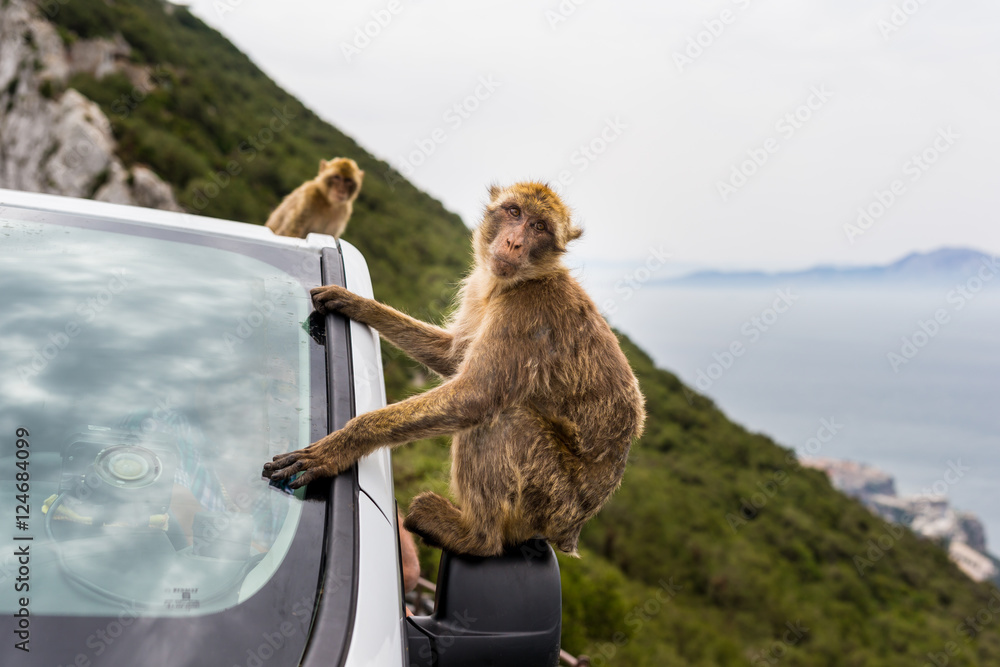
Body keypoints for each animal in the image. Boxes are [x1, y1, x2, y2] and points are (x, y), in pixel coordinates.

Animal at [263, 181, 645, 557]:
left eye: (539, 227)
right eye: (514, 212)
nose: (514, 242)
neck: (519, 282)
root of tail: (572, 529)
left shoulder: (528, 312)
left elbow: (475, 396)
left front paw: (337, 448)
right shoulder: (481, 289)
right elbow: (452, 356)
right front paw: (358, 304)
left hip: (549, 498)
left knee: (504, 418)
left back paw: (475, 537)